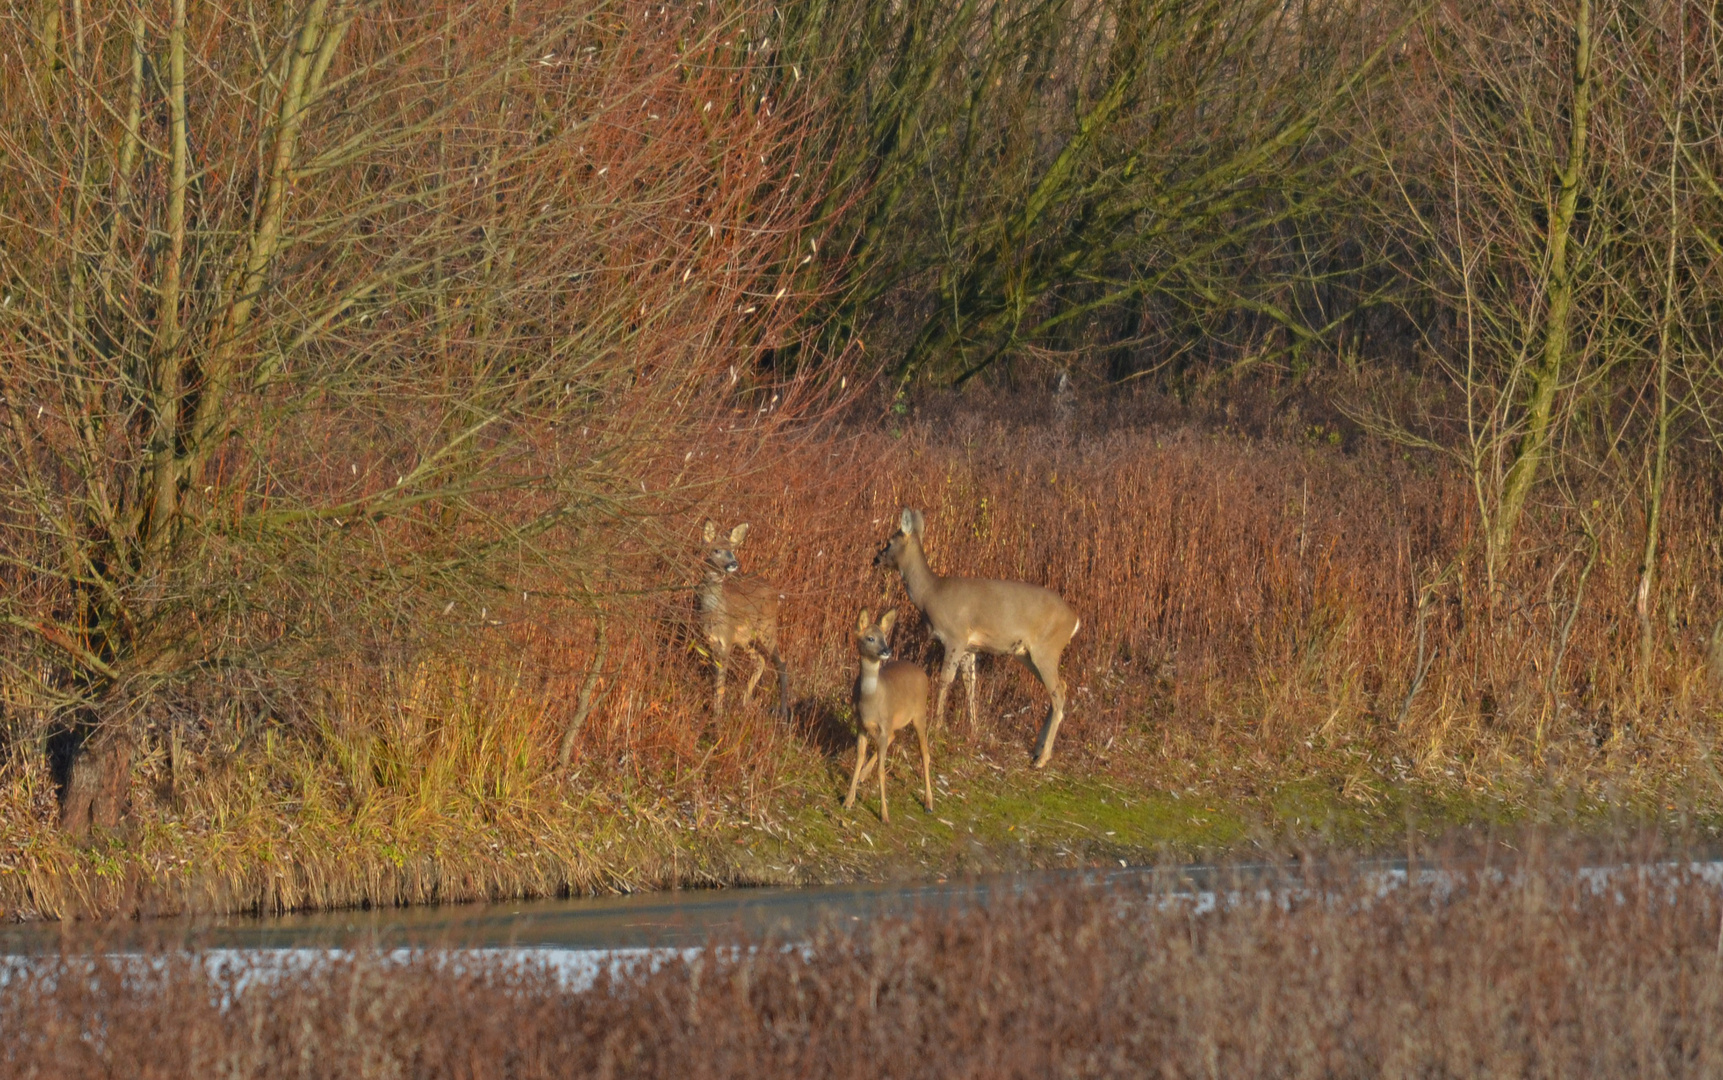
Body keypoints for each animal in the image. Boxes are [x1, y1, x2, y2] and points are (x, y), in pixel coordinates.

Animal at [696, 520, 789, 723]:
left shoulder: (726, 639)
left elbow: (721, 683)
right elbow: (717, 681)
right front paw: (716, 713)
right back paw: (745, 701)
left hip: (767, 628)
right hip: (745, 639)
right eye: (716, 550)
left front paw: (718, 717)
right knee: (760, 660)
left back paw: (784, 713)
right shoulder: (711, 642)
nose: (733, 563)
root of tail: (776, 593)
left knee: (781, 663)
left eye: (732, 550)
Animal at [844, 609, 937, 826]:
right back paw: (863, 776)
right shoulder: (861, 724)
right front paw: (848, 801)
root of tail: (922, 673)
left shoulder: (884, 724)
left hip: (919, 713)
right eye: (870, 638)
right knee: (895, 737)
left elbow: (881, 770)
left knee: (925, 753)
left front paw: (884, 815)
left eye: (884, 637)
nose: (887, 650)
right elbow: (859, 758)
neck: (871, 700)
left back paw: (928, 803)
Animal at [875, 509, 1075, 768]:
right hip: (1028, 655)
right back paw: (1037, 749)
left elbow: (945, 680)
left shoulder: (955, 636)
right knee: (1059, 689)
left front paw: (937, 726)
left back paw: (1042, 759)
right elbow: (970, 684)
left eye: (890, 542)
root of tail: (1075, 620)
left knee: (1059, 693)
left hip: (1047, 649)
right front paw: (974, 728)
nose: (876, 558)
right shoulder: (970, 648)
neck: (930, 594)